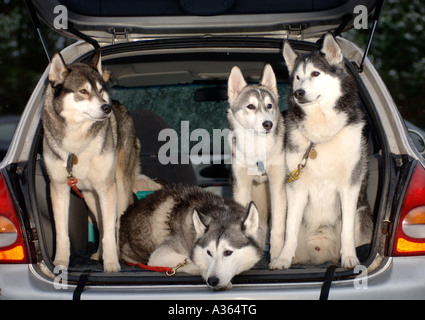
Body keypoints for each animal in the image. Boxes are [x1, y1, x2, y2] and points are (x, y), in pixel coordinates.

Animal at [44, 50, 142, 272]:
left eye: (99, 90)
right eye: (83, 91)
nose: (106, 108)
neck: (76, 145)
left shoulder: (107, 187)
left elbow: (110, 230)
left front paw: (112, 264)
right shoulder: (59, 187)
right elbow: (62, 233)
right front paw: (60, 263)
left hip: (119, 189)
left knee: (114, 224)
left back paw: (117, 255)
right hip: (90, 197)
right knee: (101, 224)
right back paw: (98, 254)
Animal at [227, 63, 286, 262]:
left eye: (269, 106)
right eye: (250, 106)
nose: (268, 124)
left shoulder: (277, 186)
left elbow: (278, 228)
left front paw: (277, 259)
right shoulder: (242, 188)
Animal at [268, 32, 372, 268]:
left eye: (315, 73)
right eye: (297, 77)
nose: (298, 93)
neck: (321, 135)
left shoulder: (349, 186)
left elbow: (347, 231)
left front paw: (350, 257)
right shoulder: (296, 187)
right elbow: (290, 231)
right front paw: (283, 259)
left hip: (361, 212)